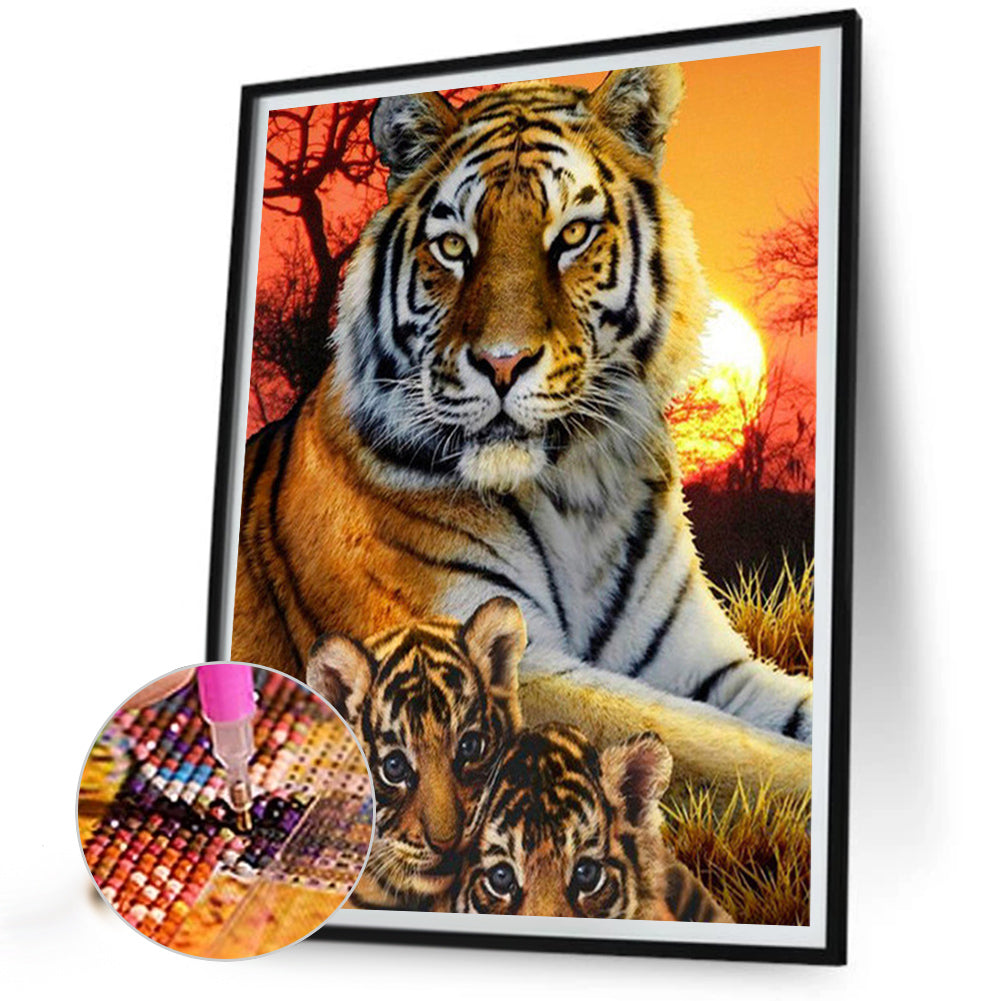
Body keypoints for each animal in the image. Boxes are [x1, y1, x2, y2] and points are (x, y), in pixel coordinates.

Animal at [234, 64, 814, 777]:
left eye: (571, 236)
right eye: (453, 246)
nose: (502, 362)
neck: (579, 492)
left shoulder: (700, 661)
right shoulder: (491, 664)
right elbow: (732, 751)